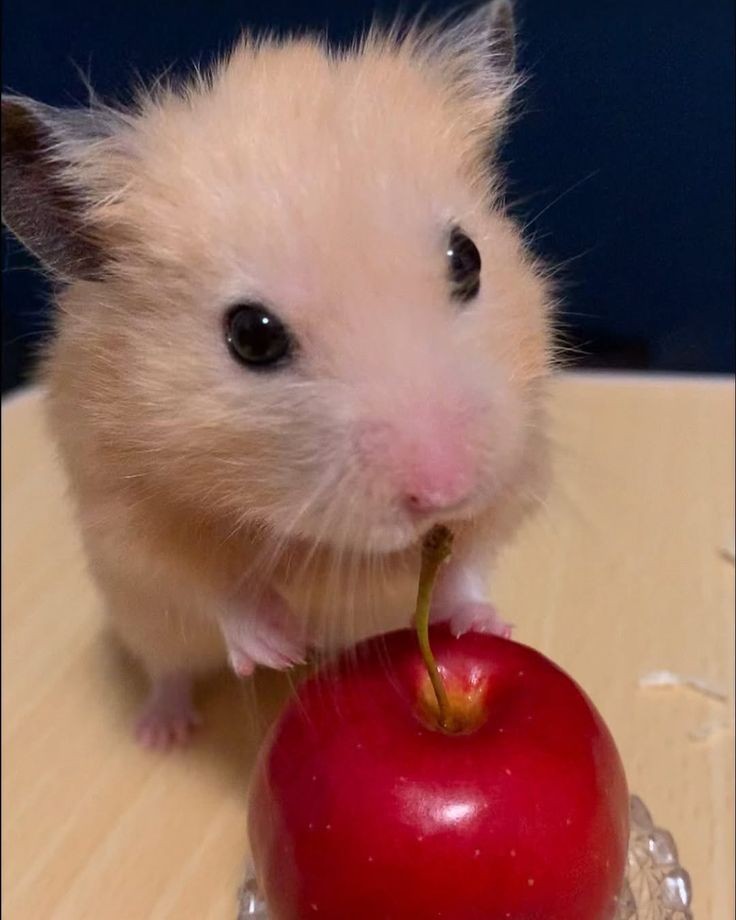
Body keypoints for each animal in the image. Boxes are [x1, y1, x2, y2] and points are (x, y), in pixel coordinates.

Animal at [1, 0, 553, 749]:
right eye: (251, 336)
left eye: (467, 258)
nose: (444, 490)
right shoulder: (130, 518)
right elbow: (214, 586)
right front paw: (280, 647)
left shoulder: (518, 473)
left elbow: (469, 562)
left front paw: (490, 626)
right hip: (142, 623)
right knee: (169, 669)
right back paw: (163, 732)